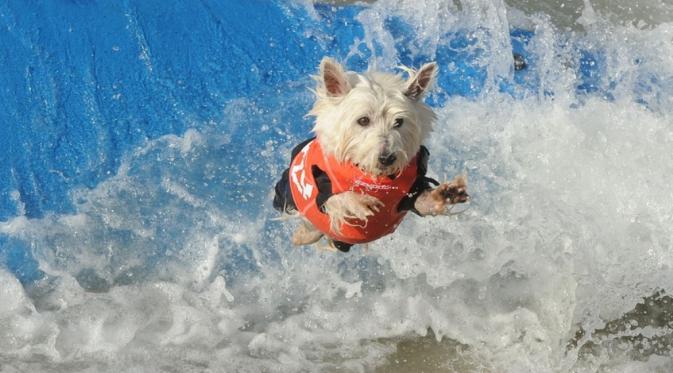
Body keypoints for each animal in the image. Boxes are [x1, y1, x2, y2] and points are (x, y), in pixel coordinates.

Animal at [272, 56, 468, 251]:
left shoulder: (411, 191)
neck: (373, 176)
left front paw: (445, 194)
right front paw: (358, 202)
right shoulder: (319, 183)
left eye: (399, 121)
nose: (387, 158)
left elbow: (424, 203)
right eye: (363, 120)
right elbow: (333, 197)